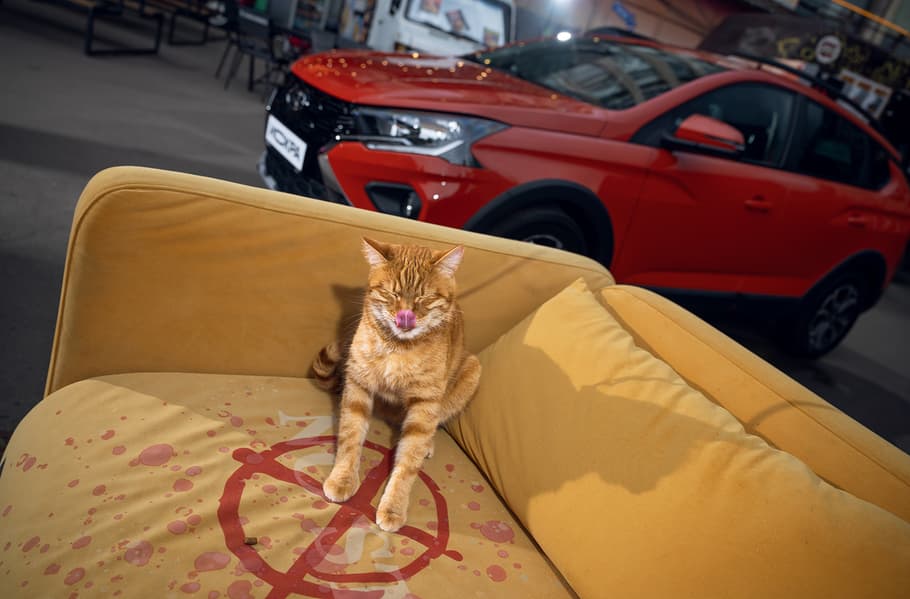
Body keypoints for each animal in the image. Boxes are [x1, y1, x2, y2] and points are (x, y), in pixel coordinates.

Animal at [312, 238, 482, 532]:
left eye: (425, 297)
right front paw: (343, 479)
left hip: (471, 371)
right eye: (391, 294)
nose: (405, 316)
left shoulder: (425, 405)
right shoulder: (358, 385)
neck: (399, 348)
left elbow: (408, 463)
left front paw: (393, 506)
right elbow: (350, 438)